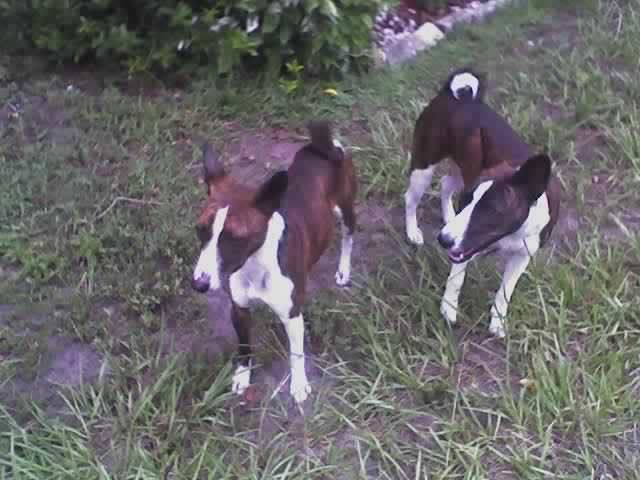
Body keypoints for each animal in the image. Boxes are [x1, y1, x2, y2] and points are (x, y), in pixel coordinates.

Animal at [191, 121, 357, 403]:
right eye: (201, 230)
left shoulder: (292, 315)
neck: (255, 266)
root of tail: (323, 146)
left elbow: (296, 354)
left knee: (348, 237)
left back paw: (344, 269)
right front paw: (242, 376)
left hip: (346, 210)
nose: (199, 284)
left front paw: (299, 384)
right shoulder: (239, 309)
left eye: (235, 238)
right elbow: (244, 346)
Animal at [403, 67, 561, 337]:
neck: (513, 232)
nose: (443, 240)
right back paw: (413, 231)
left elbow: (505, 291)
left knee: (446, 183)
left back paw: (448, 214)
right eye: (468, 200)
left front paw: (498, 321)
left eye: (491, 210)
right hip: (423, 168)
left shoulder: (522, 256)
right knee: (411, 198)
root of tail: (456, 96)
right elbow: (456, 279)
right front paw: (448, 309)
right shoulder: (465, 247)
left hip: (462, 169)